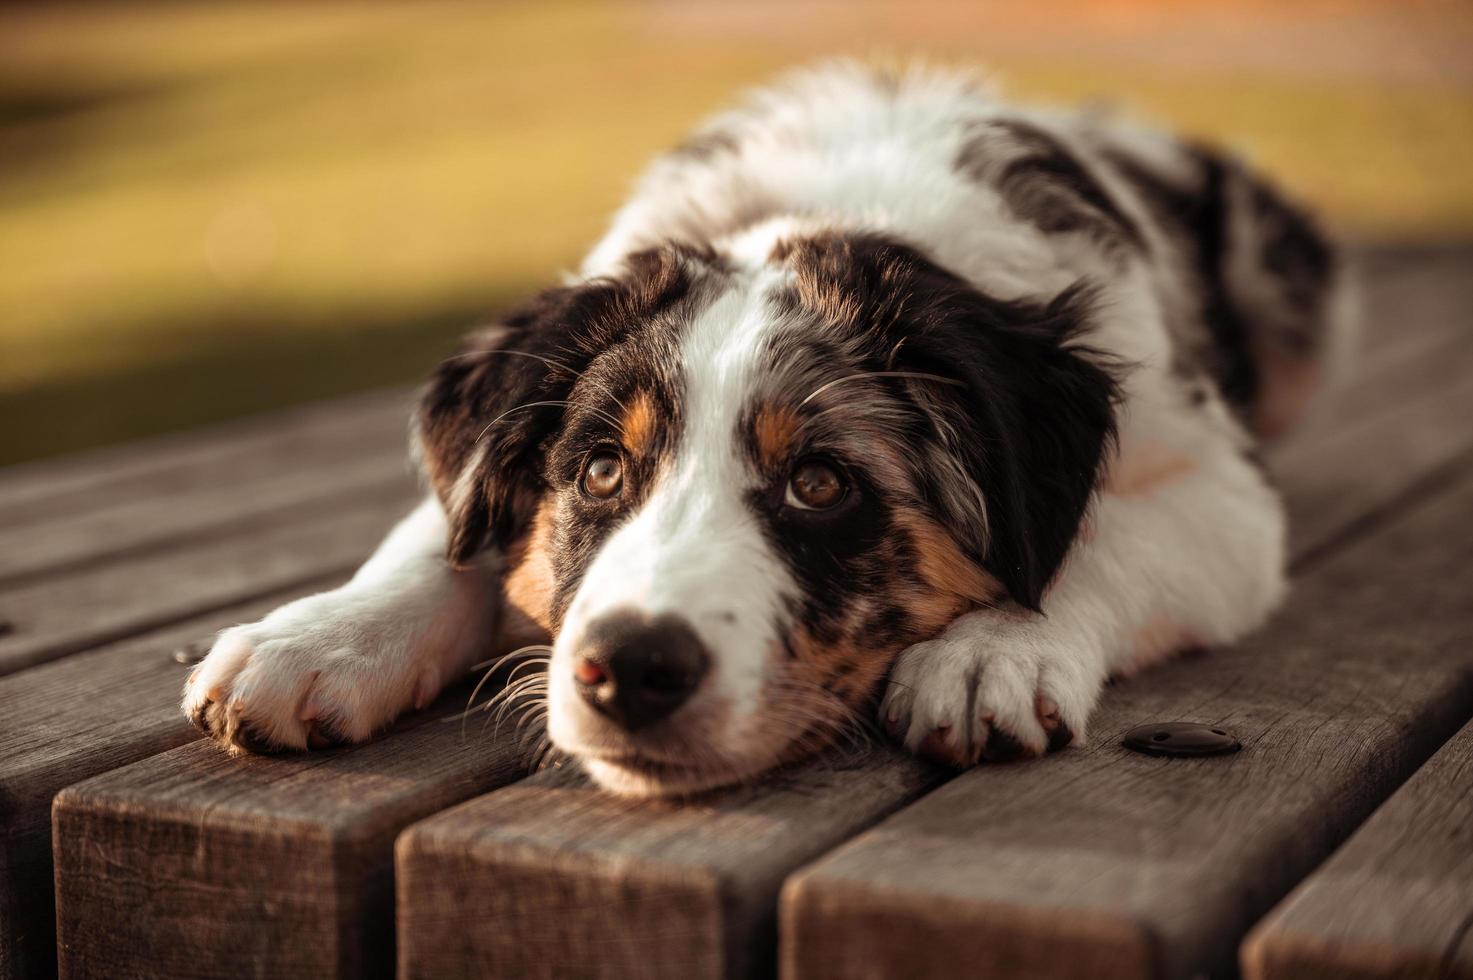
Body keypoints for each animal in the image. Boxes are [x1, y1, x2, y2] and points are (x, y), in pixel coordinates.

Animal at [181, 61, 1349, 795]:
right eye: (599, 470)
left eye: (820, 483)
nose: (629, 669)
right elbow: (443, 533)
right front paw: (315, 639)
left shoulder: (1223, 492)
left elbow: (1100, 538)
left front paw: (995, 652)